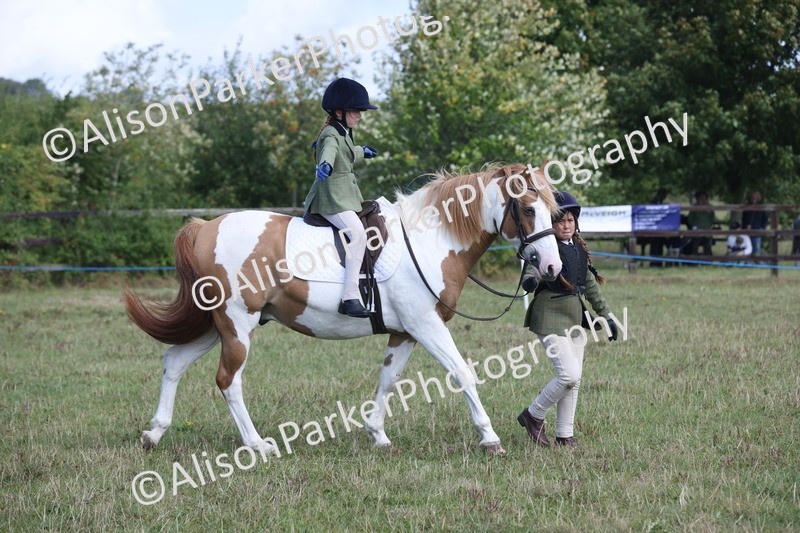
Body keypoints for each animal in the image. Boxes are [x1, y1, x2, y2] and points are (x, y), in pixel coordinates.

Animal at [124, 163, 562, 456]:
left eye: (552, 211)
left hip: (217, 325)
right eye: (527, 209)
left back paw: (154, 433)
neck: (431, 239)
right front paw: (490, 438)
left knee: (174, 361)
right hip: (236, 326)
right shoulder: (427, 326)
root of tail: (206, 228)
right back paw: (257, 445)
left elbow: (388, 380)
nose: (551, 267)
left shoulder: (405, 332)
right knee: (228, 381)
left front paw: (377, 434)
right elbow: (462, 374)